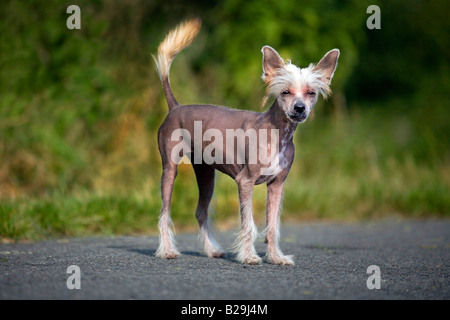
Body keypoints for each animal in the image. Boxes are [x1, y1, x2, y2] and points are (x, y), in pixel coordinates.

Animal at [153, 18, 340, 264]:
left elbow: (272, 226)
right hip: (170, 169)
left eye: (311, 93)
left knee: (201, 212)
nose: (300, 108)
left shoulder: (276, 185)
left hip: (206, 173)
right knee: (164, 213)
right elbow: (248, 224)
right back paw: (167, 250)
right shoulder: (245, 182)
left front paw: (275, 257)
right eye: (285, 92)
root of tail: (175, 107)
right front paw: (249, 256)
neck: (278, 134)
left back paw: (211, 250)